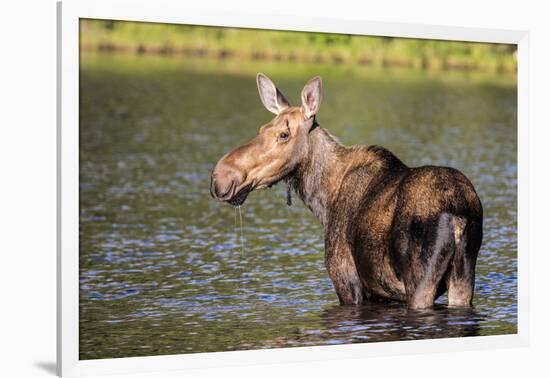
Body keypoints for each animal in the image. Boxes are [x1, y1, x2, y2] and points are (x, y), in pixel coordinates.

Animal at [211, 74, 484, 310]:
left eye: (284, 134)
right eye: (261, 128)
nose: (220, 176)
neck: (322, 200)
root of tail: (460, 215)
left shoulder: (346, 280)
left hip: (420, 282)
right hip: (463, 279)